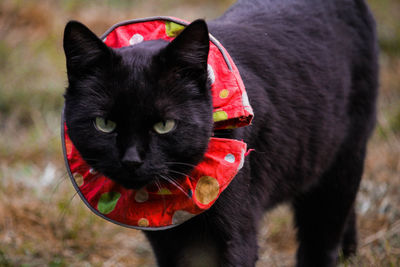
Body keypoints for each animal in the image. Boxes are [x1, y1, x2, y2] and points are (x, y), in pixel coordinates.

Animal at [62, 0, 378, 266]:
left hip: (340, 163)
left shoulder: (235, 237)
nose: (131, 160)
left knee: (323, 237)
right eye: (104, 123)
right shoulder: (167, 243)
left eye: (165, 125)